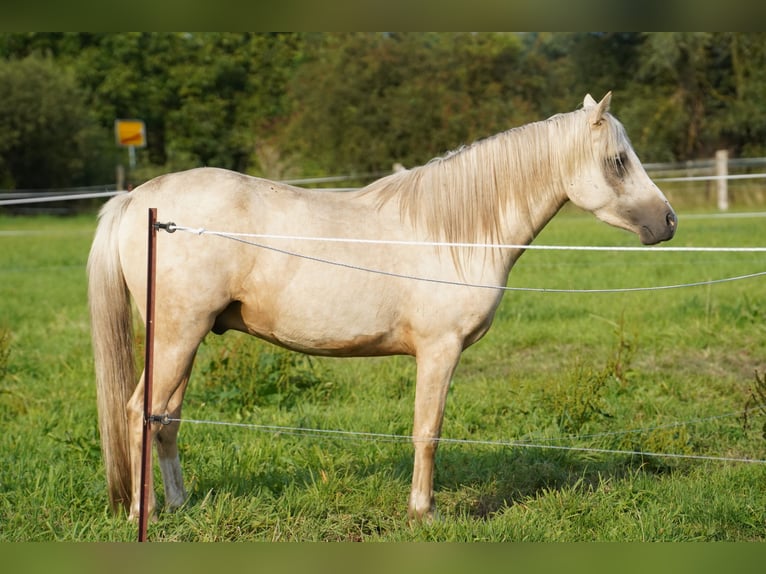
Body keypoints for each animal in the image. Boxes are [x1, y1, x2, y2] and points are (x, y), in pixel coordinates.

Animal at [88, 93, 680, 520]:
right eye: (618, 161)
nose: (668, 221)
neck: (454, 233)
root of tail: (139, 199)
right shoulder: (439, 351)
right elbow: (428, 431)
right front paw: (424, 513)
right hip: (177, 335)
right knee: (139, 413)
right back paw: (145, 514)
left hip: (185, 339)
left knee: (165, 419)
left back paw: (179, 505)